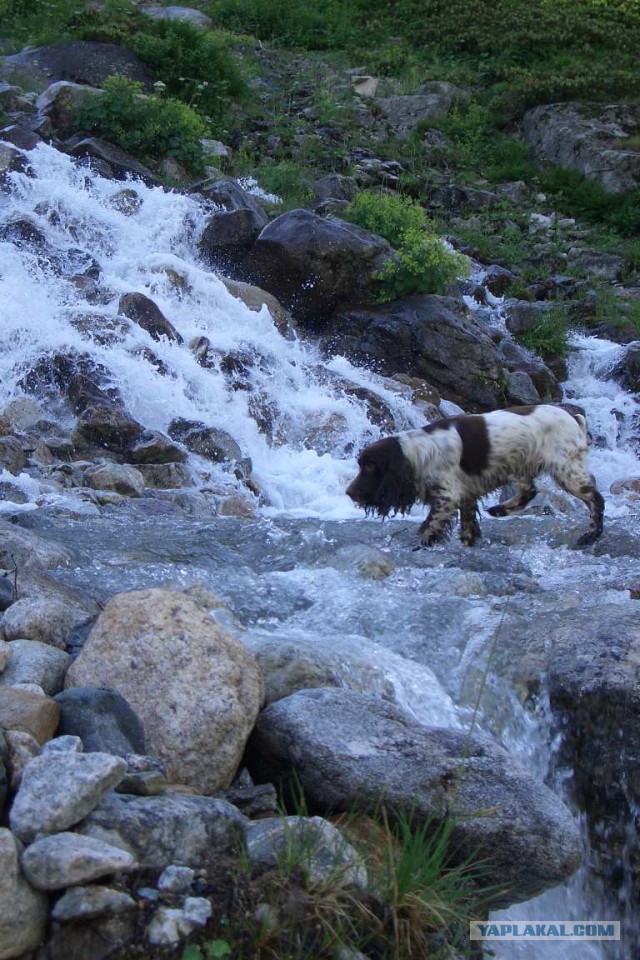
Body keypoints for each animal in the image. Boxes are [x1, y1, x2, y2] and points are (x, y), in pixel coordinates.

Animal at [348, 404, 604, 548]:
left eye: (369, 466)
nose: (349, 492)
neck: (417, 451)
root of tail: (574, 418)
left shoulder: (448, 498)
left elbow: (428, 528)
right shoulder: (467, 495)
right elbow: (468, 529)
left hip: (566, 470)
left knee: (595, 499)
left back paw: (591, 535)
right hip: (520, 466)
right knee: (530, 490)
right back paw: (499, 509)